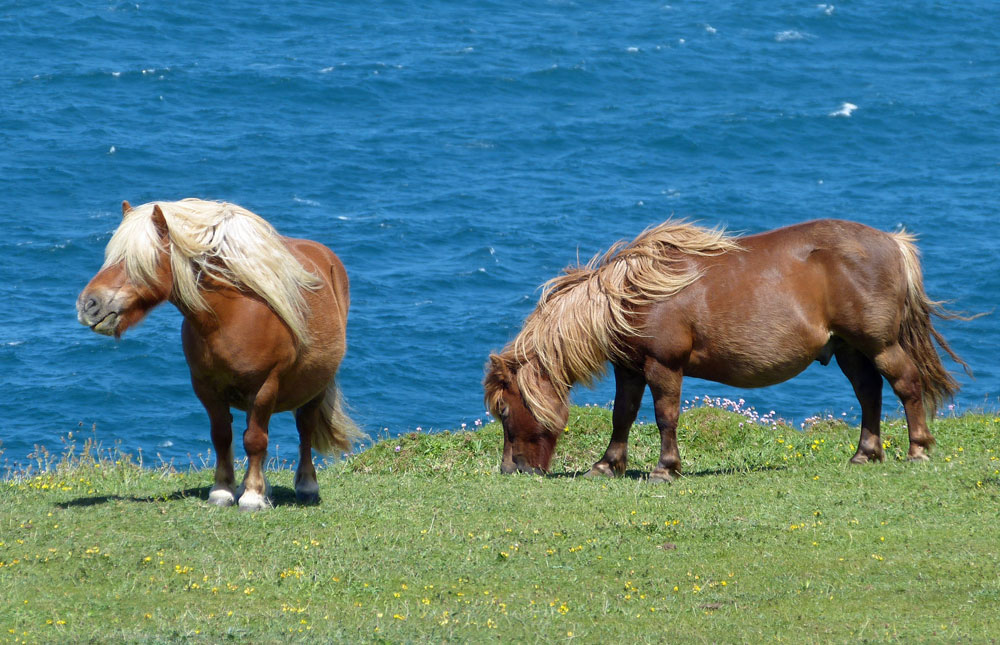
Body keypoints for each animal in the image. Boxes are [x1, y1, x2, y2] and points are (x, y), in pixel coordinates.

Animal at [77, 199, 364, 510]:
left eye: (138, 260)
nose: (88, 304)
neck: (229, 316)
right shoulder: (205, 387)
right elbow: (222, 436)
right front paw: (224, 490)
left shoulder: (265, 386)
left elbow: (254, 439)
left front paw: (251, 497)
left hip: (315, 388)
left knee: (304, 429)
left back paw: (306, 486)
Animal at [488, 220, 972, 478]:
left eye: (506, 411)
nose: (511, 470)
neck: (631, 297)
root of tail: (893, 241)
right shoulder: (629, 369)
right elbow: (622, 415)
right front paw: (608, 465)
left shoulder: (664, 367)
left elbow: (665, 417)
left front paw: (666, 468)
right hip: (850, 350)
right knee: (869, 393)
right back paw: (864, 454)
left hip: (879, 344)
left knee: (906, 385)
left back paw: (917, 449)